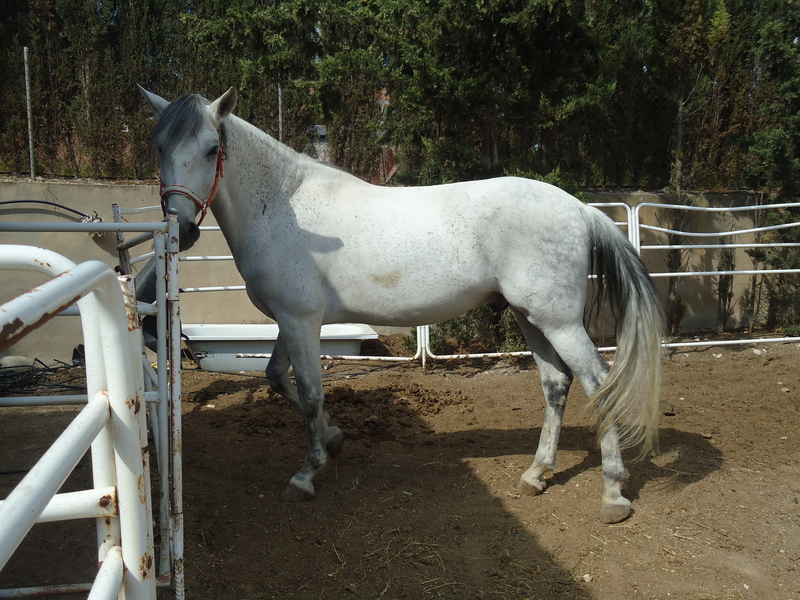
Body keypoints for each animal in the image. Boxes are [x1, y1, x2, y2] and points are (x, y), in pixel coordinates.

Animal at [137, 85, 664, 524]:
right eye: (159, 147)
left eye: (211, 149)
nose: (181, 229)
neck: (284, 208)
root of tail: (580, 208)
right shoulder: (292, 322)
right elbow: (277, 379)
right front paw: (334, 439)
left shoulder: (301, 321)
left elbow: (310, 393)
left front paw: (307, 474)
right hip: (532, 317)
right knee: (556, 385)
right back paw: (537, 474)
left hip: (559, 322)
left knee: (598, 383)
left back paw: (613, 495)